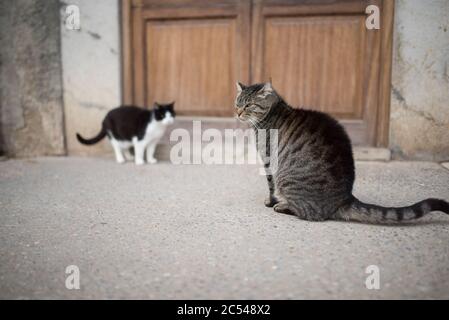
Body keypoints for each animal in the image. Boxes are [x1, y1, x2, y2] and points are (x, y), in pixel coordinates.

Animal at [234, 82, 448, 222]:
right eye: (237, 103)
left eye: (249, 105)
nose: (237, 112)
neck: (272, 113)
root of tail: (344, 198)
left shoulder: (268, 160)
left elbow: (271, 187)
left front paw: (271, 201)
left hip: (288, 180)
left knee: (310, 214)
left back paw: (283, 206)